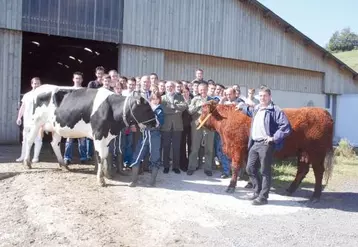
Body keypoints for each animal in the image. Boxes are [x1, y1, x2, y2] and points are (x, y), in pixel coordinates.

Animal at [23, 84, 155, 185]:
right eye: (148, 109)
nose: (156, 123)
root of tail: (35, 90)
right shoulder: (99, 135)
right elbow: (101, 156)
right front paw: (101, 179)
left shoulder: (107, 137)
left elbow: (106, 154)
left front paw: (107, 174)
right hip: (35, 123)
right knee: (29, 141)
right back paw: (27, 163)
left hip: (56, 127)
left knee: (54, 143)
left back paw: (63, 165)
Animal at [199, 101, 336, 202]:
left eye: (204, 111)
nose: (197, 121)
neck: (227, 119)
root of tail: (323, 112)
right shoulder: (247, 152)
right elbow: (251, 168)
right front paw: (254, 186)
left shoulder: (237, 149)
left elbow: (235, 167)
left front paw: (231, 186)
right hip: (303, 153)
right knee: (302, 171)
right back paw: (290, 190)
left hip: (316, 153)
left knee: (318, 172)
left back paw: (315, 196)